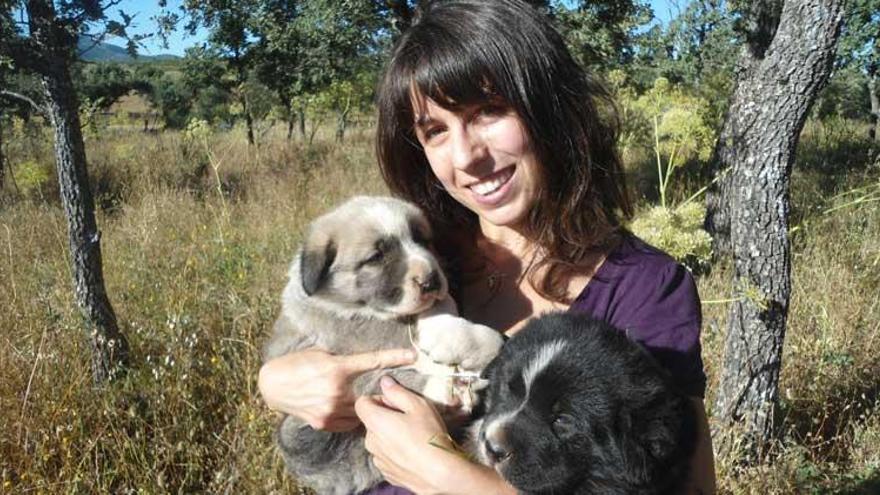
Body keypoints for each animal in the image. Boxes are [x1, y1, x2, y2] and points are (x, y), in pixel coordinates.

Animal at [262, 196, 502, 495]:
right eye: (376, 257)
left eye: (422, 240)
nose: (431, 281)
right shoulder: (354, 328)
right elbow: (396, 336)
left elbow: (441, 309)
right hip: (297, 430)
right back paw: (448, 387)